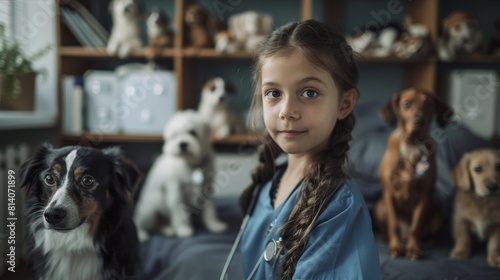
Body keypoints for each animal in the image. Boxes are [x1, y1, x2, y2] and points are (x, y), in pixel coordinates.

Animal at [133, 110, 227, 241]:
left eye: (192, 132)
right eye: (174, 136)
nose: (182, 144)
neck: (191, 164)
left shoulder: (207, 187)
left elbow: (210, 210)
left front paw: (214, 224)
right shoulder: (176, 191)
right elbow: (179, 212)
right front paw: (183, 229)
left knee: (160, 225)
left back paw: (168, 229)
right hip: (150, 210)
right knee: (138, 223)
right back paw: (141, 235)